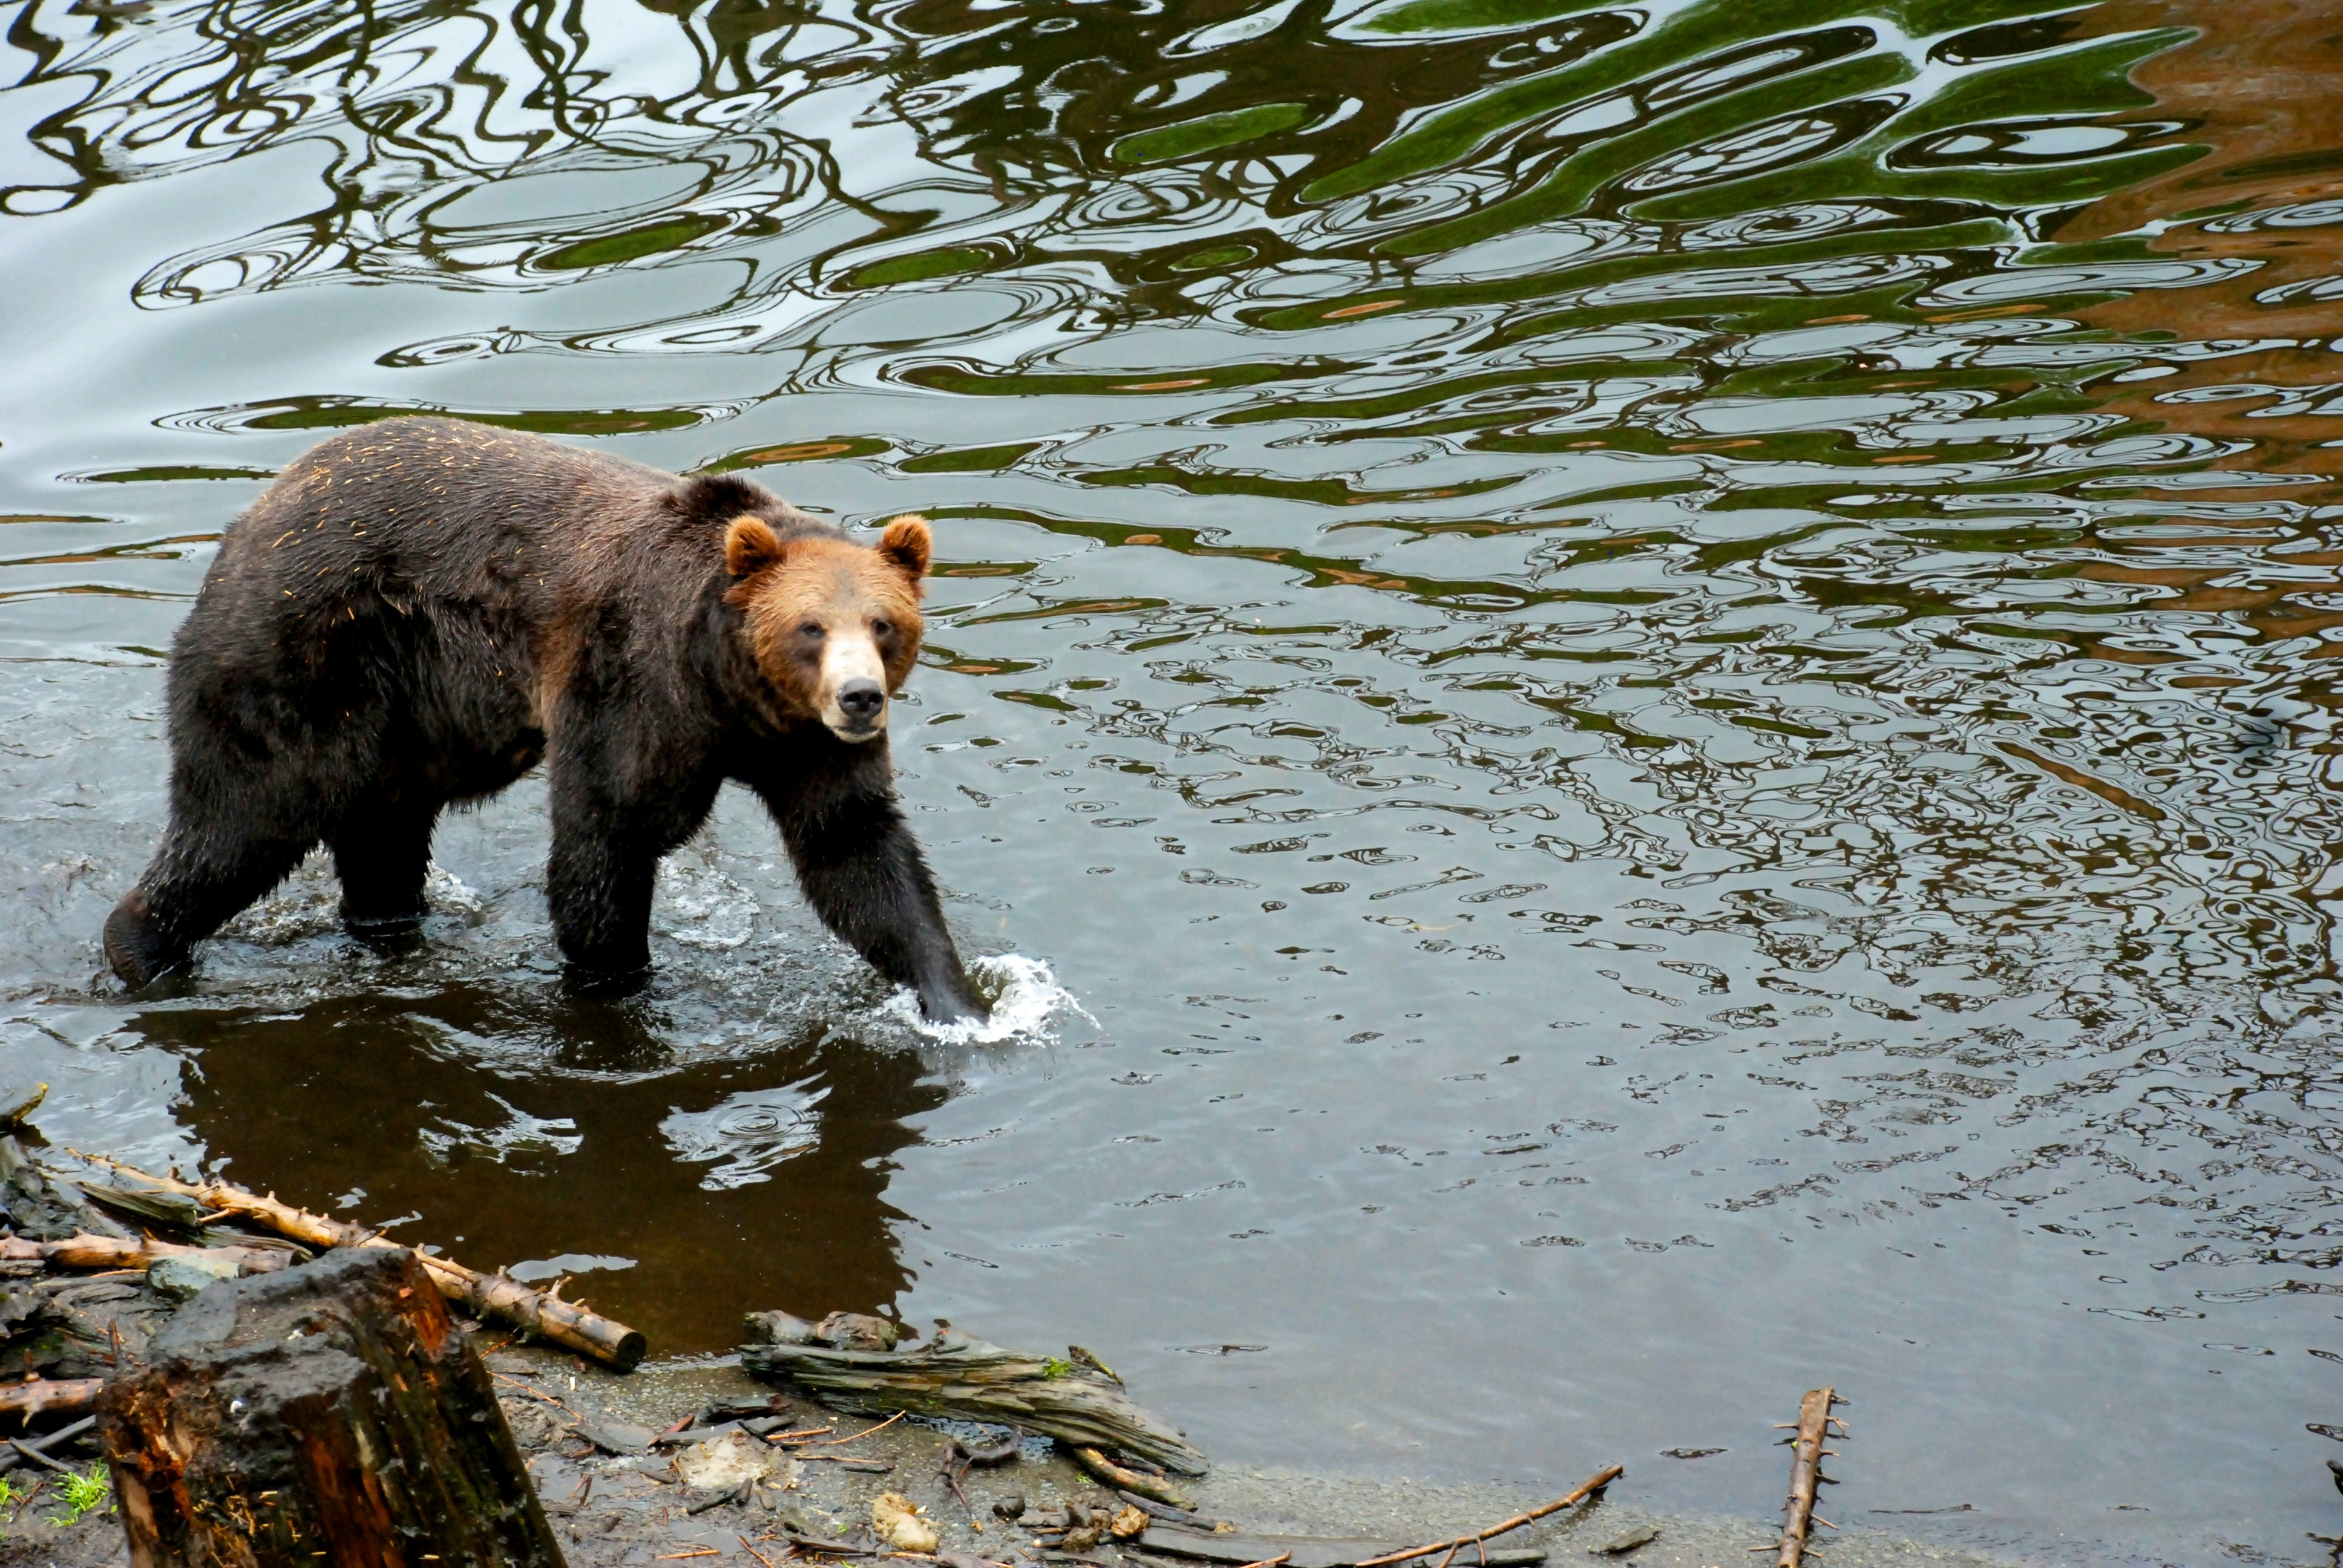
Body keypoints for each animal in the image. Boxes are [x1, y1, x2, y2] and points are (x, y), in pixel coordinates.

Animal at [102, 416, 988, 1023]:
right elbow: (606, 842)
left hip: (410, 712)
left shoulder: (802, 743)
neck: (726, 687)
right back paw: (143, 947)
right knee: (246, 814)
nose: (860, 697)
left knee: (383, 835)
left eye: (883, 625)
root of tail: (256, 512)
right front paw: (617, 986)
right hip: (306, 652)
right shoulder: (630, 681)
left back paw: (386, 927)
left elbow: (856, 852)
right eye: (811, 628)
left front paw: (960, 1000)